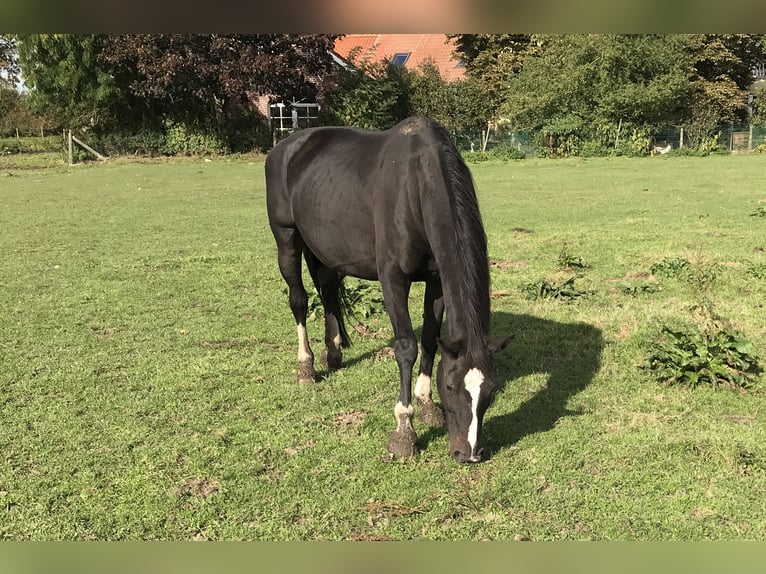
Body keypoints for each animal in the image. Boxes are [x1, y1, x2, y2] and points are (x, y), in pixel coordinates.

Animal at [264, 117, 510, 464]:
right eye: (451, 386)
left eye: (490, 391)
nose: (470, 453)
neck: (415, 186)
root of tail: (284, 147)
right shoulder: (393, 278)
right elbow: (406, 347)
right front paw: (404, 431)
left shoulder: (436, 280)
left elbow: (429, 338)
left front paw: (426, 404)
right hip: (286, 238)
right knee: (299, 300)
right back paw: (305, 367)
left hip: (326, 246)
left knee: (328, 288)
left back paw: (334, 352)